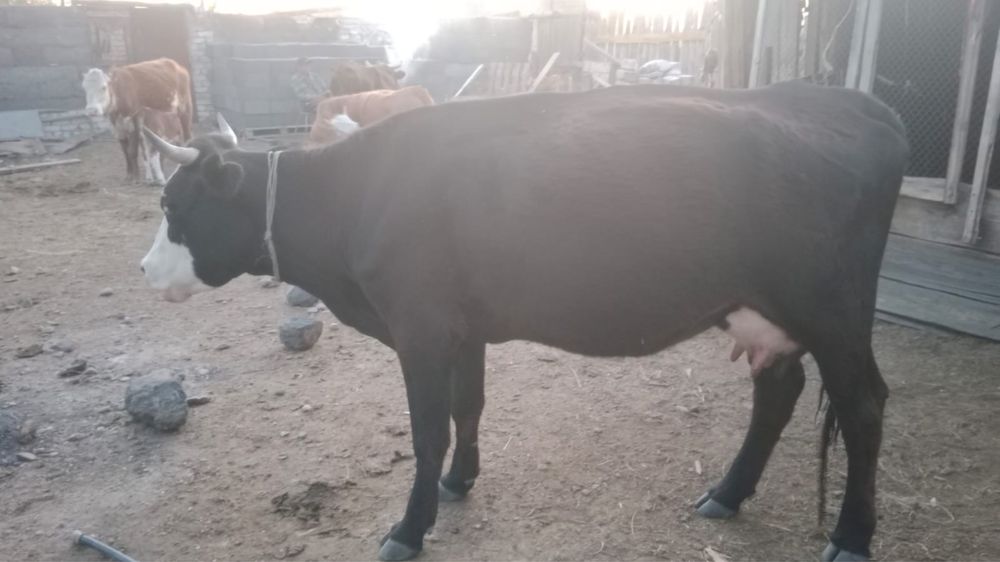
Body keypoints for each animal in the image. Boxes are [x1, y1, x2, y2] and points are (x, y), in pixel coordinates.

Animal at [140, 82, 908, 562]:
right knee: (779, 392)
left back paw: (852, 537)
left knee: (865, 407)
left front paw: (409, 528)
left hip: (833, 312)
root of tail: (856, 103)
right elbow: (468, 407)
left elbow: (426, 431)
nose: (145, 271)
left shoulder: (419, 327)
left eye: (174, 209)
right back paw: (726, 493)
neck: (358, 195)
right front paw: (458, 483)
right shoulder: (463, 327)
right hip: (763, 311)